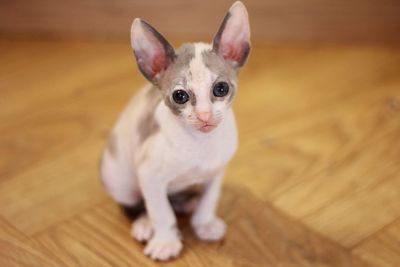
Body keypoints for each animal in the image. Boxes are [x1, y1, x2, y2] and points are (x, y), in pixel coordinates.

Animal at [100, 0, 250, 262]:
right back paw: (145, 224)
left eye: (221, 89)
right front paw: (165, 241)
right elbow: (161, 212)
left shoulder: (216, 172)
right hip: (118, 177)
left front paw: (204, 224)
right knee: (138, 205)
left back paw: (184, 203)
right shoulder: (148, 174)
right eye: (180, 96)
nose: (204, 116)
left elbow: (209, 201)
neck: (200, 145)